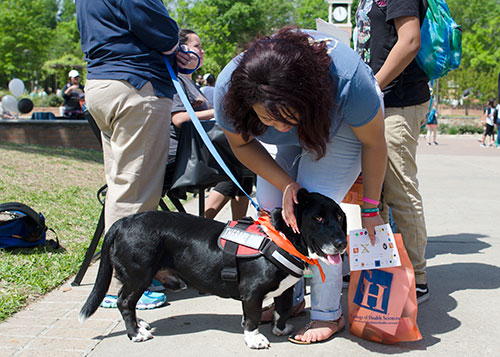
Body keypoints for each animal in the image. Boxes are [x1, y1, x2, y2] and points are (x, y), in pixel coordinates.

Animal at [80, 189, 348, 348]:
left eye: (339, 217)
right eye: (318, 219)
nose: (341, 243)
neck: (280, 237)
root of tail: (123, 222)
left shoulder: (285, 289)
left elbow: (282, 309)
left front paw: (280, 329)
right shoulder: (252, 292)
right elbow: (252, 317)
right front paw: (254, 338)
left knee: (128, 301)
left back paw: (140, 323)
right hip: (139, 274)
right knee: (124, 301)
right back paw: (135, 333)